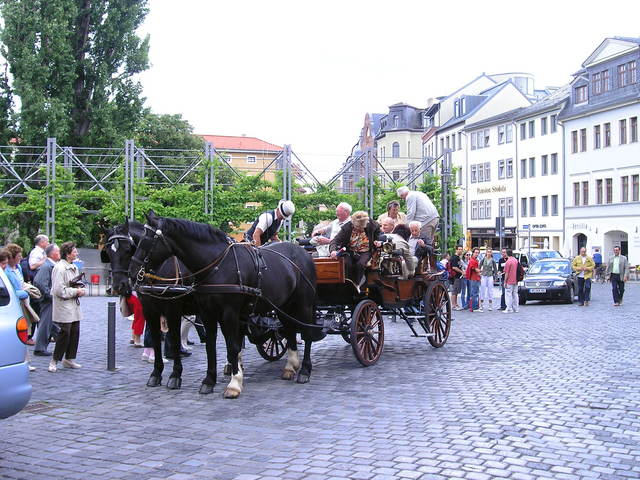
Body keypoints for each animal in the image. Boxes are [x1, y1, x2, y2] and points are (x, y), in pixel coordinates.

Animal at [102, 221, 210, 391]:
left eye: (128, 248)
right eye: (108, 250)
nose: (119, 285)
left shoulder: (173, 309)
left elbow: (174, 337)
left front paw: (175, 374)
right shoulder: (150, 310)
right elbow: (155, 338)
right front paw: (156, 372)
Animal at [128, 211, 319, 399]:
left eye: (147, 240)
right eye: (138, 240)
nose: (132, 273)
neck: (218, 265)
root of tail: (303, 252)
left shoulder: (226, 313)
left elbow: (232, 345)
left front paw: (234, 383)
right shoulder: (205, 313)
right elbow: (210, 345)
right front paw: (209, 380)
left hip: (304, 305)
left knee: (307, 334)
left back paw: (304, 370)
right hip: (283, 306)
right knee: (289, 330)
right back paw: (290, 366)